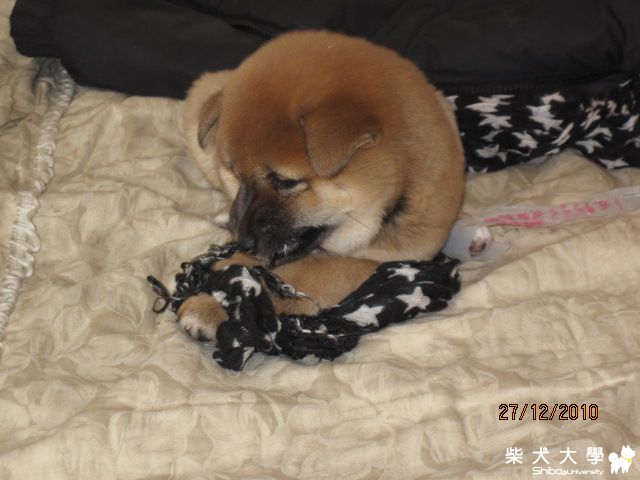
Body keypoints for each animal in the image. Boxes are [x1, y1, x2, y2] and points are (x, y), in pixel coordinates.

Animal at [177, 30, 465, 341]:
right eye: (235, 174)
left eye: (285, 181)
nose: (243, 243)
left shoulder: (383, 259)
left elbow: (306, 274)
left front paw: (220, 301)